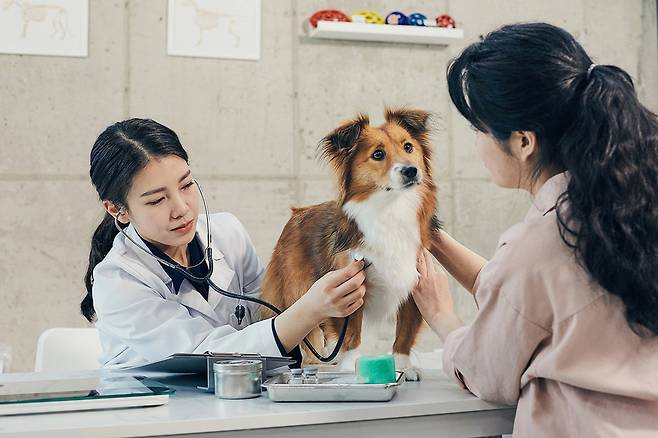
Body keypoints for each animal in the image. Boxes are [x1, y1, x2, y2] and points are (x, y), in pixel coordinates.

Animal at [258, 108, 438, 378]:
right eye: (378, 154)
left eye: (408, 147)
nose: (411, 170)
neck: (390, 208)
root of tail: (297, 213)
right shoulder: (349, 285)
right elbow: (351, 332)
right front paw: (352, 366)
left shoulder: (414, 284)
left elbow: (404, 334)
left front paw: (404, 366)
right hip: (301, 291)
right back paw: (314, 365)